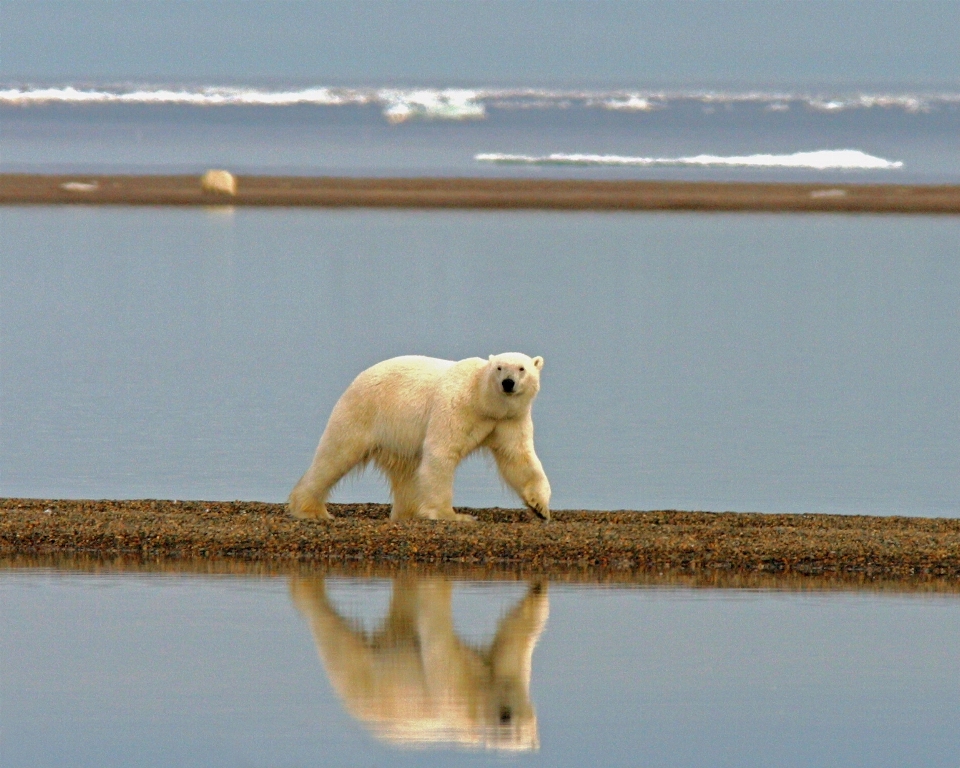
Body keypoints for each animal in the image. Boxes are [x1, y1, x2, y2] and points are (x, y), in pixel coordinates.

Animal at [288, 352, 552, 520]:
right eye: (499, 367)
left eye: (522, 368)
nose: (508, 383)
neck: (482, 401)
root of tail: (357, 379)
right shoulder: (456, 407)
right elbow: (441, 452)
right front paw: (451, 515)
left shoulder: (509, 420)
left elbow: (518, 457)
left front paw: (540, 507)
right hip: (364, 411)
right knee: (335, 456)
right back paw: (311, 509)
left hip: (397, 435)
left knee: (405, 471)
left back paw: (408, 513)